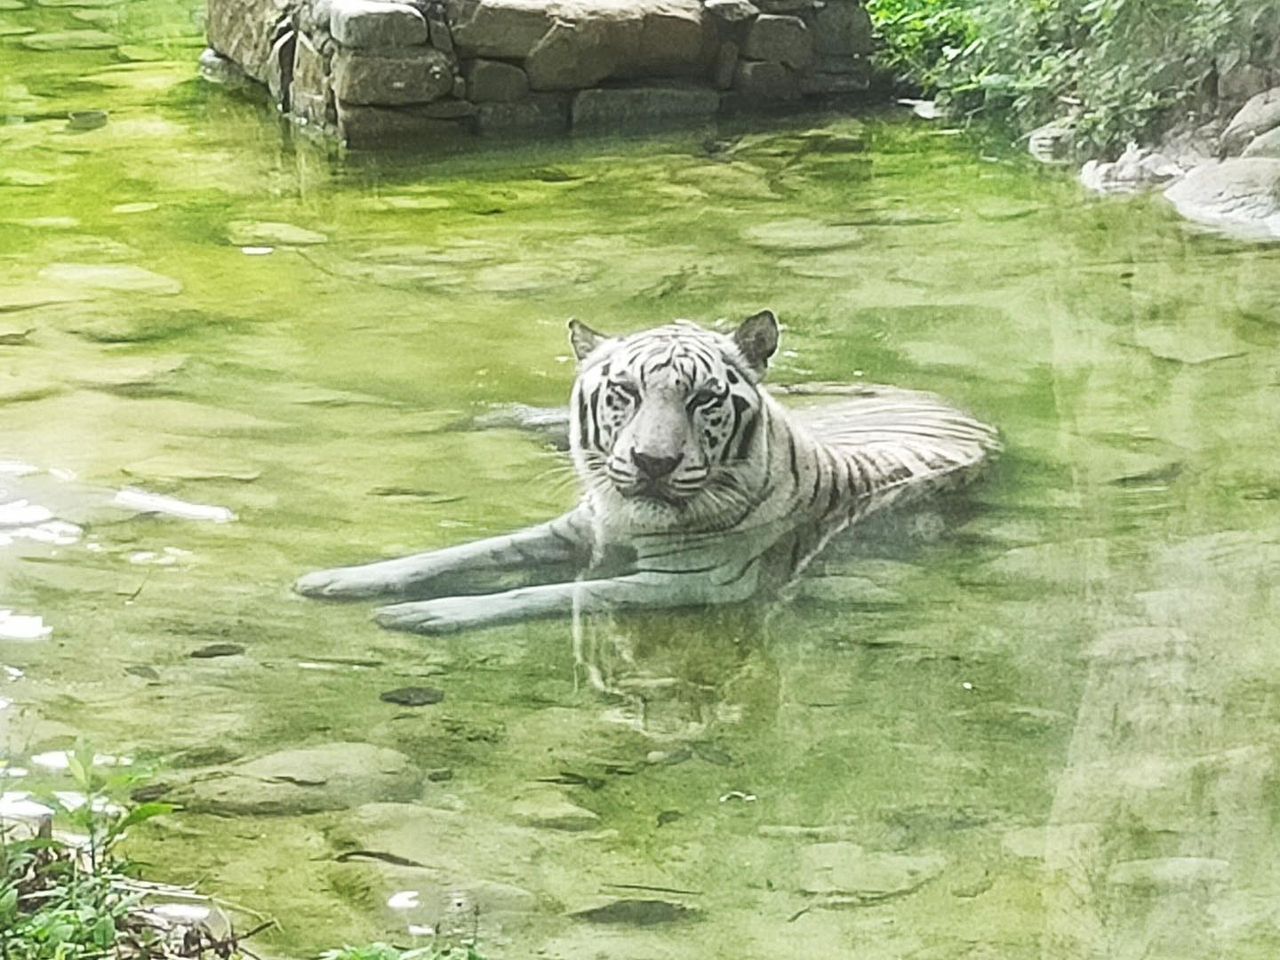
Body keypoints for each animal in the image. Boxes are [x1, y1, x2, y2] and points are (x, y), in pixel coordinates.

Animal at [294, 311, 999, 634]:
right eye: (623, 393)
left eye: (704, 399)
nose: (652, 463)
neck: (628, 518)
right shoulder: (574, 526)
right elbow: (457, 552)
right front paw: (338, 579)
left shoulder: (687, 581)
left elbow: (550, 593)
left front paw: (426, 615)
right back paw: (482, 418)